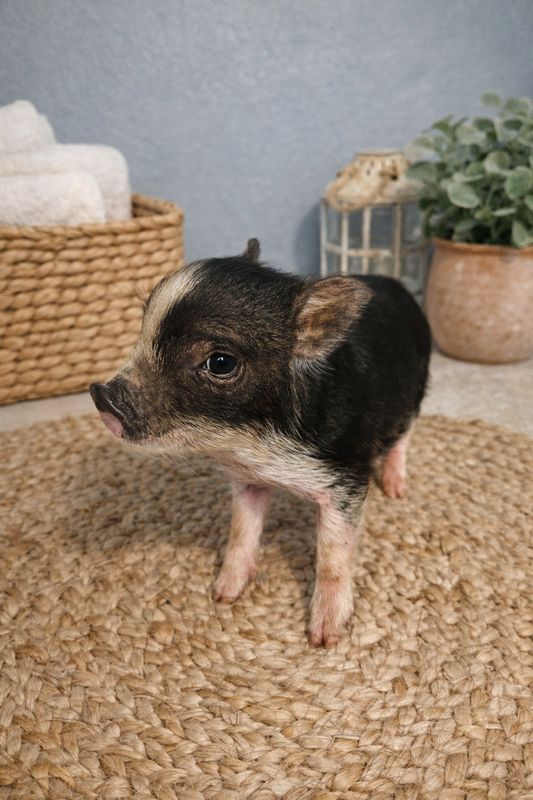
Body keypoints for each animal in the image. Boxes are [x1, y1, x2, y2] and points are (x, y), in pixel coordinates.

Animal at [90, 239, 431, 646]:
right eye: (144, 330)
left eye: (220, 362)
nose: (101, 396)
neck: (254, 444)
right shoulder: (247, 480)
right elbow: (241, 529)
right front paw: (222, 595)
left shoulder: (346, 477)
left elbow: (333, 555)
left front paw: (324, 637)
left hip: (414, 395)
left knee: (403, 438)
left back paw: (396, 489)